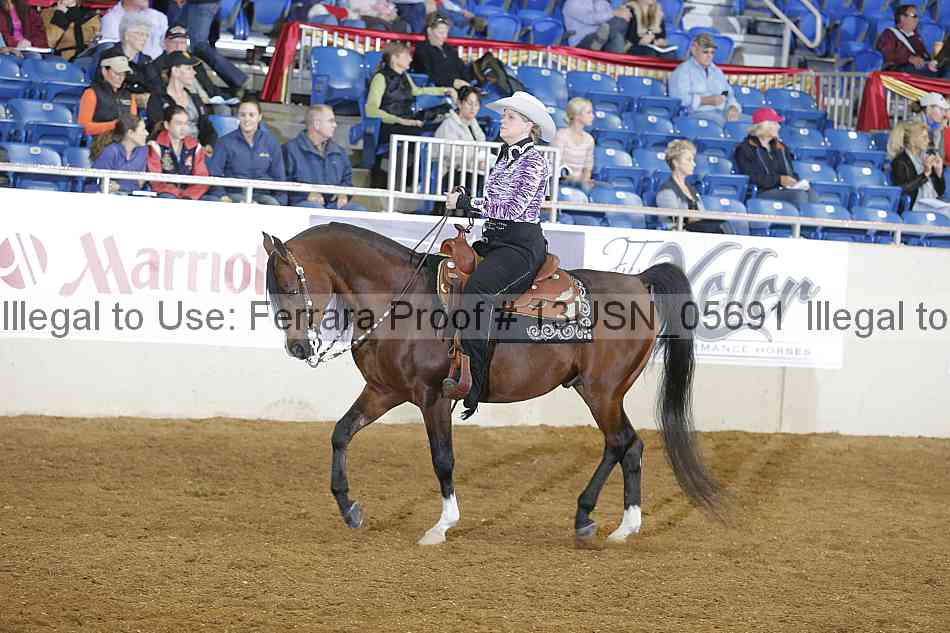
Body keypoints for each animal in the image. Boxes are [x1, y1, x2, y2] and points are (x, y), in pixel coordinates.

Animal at [262, 222, 721, 545]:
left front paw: (442, 526)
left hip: (602, 391)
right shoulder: (384, 392)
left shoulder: (433, 396)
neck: (401, 300)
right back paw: (592, 519)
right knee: (623, 445)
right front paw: (349, 508)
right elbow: (341, 434)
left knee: (624, 442)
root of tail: (639, 280)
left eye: (289, 285)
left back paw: (621, 525)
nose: (298, 348)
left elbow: (442, 459)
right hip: (596, 391)